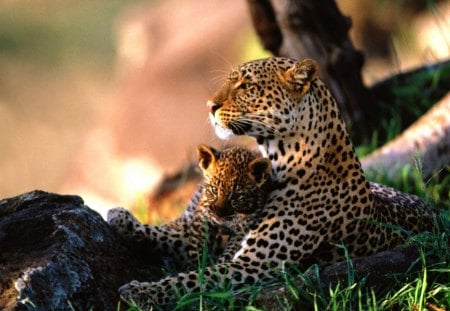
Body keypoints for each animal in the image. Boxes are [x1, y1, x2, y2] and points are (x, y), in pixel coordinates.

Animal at [118, 57, 434, 308]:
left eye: (246, 86)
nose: (209, 106)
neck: (281, 159)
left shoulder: (253, 265)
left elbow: (191, 279)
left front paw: (139, 292)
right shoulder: (217, 243)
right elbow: (175, 238)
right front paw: (122, 219)